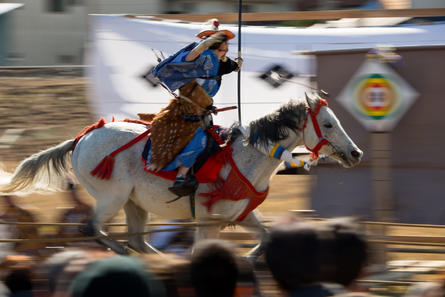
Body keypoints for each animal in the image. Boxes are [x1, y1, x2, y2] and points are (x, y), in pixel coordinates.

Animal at [0, 94, 360, 254]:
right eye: (328, 124)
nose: (356, 153)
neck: (243, 158)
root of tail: (83, 137)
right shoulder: (207, 221)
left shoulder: (241, 215)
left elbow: (266, 238)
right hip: (111, 196)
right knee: (93, 228)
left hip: (133, 204)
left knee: (138, 240)